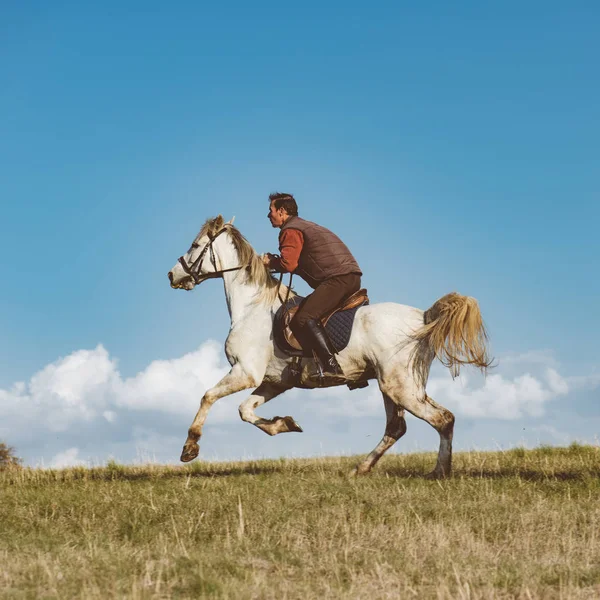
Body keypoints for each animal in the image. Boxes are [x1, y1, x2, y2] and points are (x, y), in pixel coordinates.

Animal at [166, 216, 490, 478]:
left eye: (195, 245)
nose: (171, 275)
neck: (252, 307)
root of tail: (423, 316)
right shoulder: (274, 382)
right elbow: (245, 411)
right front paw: (285, 424)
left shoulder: (245, 372)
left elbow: (208, 396)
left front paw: (189, 448)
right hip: (397, 385)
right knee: (400, 427)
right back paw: (361, 469)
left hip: (400, 386)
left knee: (441, 419)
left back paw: (439, 471)